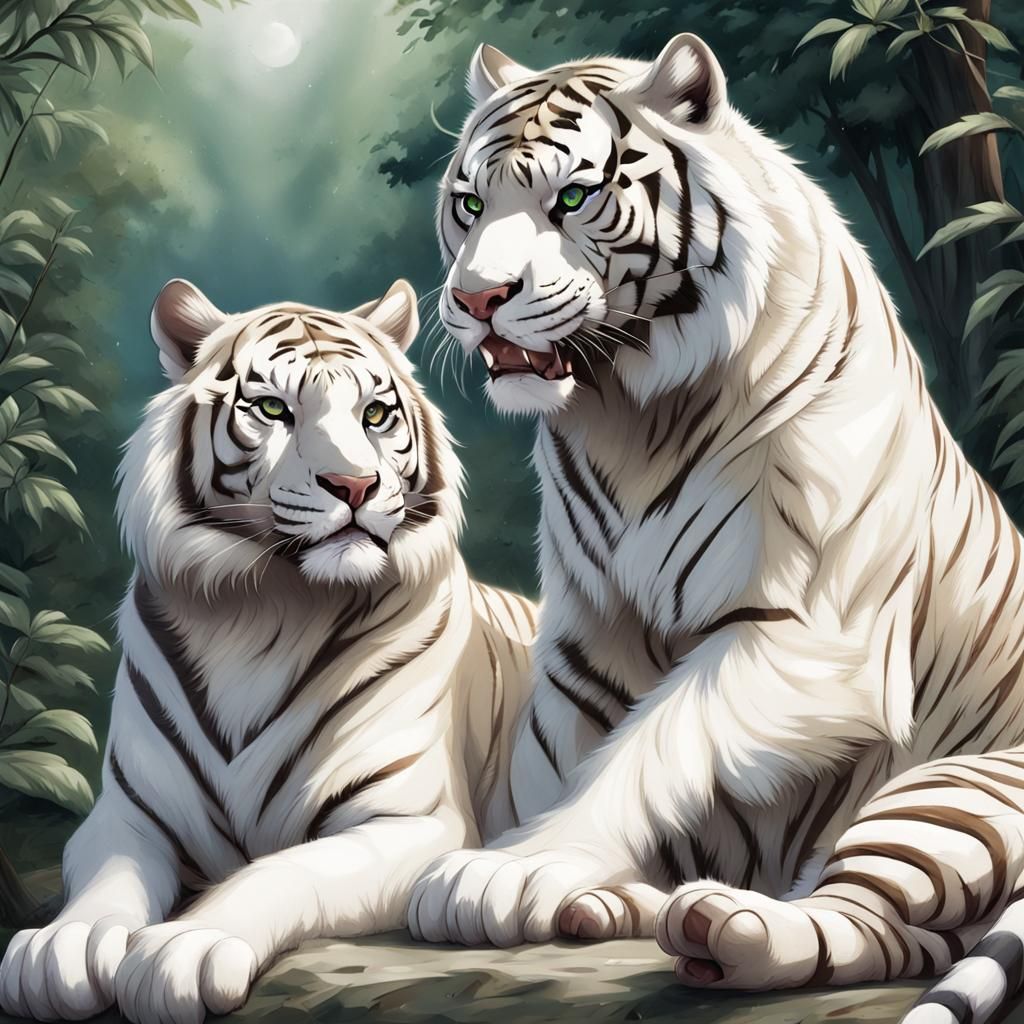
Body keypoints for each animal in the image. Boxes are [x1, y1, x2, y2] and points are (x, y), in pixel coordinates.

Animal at [0, 278, 536, 1024]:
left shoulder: (411, 819)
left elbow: (282, 869)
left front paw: (185, 947)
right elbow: (108, 880)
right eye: (274, 409)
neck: (266, 612)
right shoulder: (129, 814)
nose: (355, 486)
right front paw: (64, 947)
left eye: (375, 414)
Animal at [406, 32, 1024, 1024]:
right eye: (469, 204)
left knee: (865, 920)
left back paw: (721, 926)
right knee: (907, 936)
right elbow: (577, 750)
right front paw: (561, 872)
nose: (476, 299)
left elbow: (656, 743)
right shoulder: (589, 637)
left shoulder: (807, 634)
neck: (626, 414)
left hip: (945, 790)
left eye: (570, 198)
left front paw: (514, 870)